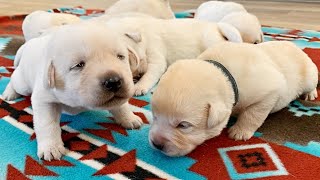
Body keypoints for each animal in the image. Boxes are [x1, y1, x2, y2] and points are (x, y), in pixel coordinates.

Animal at [2, 21, 142, 160]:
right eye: (79, 65)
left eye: (120, 57)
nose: (113, 81)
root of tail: (28, 44)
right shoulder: (44, 100)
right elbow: (47, 124)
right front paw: (51, 148)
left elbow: (121, 106)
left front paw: (129, 118)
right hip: (23, 84)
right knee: (14, 78)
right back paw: (9, 93)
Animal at [104, 17, 242, 95]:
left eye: (122, 56)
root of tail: (216, 25)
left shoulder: (156, 55)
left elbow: (150, 74)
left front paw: (139, 87)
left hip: (211, 41)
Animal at [149, 40, 318, 156]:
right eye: (155, 116)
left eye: (183, 125)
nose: (156, 144)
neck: (225, 73)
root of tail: (294, 46)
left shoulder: (269, 92)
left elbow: (253, 114)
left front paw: (239, 131)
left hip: (309, 75)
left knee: (312, 83)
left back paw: (310, 94)